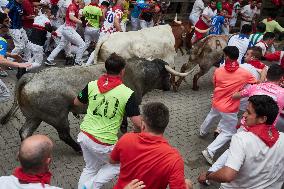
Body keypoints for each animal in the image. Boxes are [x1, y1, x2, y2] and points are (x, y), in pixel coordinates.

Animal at [1, 57, 191, 152]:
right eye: (166, 75)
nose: (169, 87)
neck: (139, 73)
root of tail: (31, 77)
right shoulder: (132, 105)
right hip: (58, 117)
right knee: (64, 135)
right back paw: (78, 148)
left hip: (35, 117)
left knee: (24, 132)